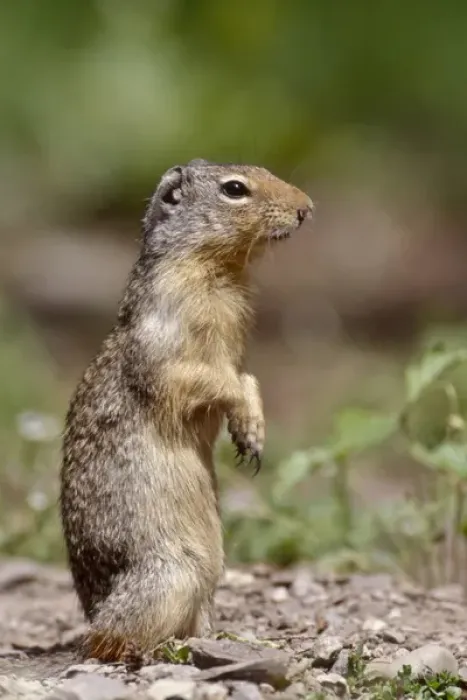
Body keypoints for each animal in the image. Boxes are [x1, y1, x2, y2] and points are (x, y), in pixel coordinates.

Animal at [60, 158, 313, 662]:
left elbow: (246, 378)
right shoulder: (174, 342)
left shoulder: (237, 352)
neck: (218, 269)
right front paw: (246, 424)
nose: (307, 208)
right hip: (173, 576)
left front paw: (253, 432)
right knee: (109, 640)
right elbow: (207, 379)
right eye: (234, 189)